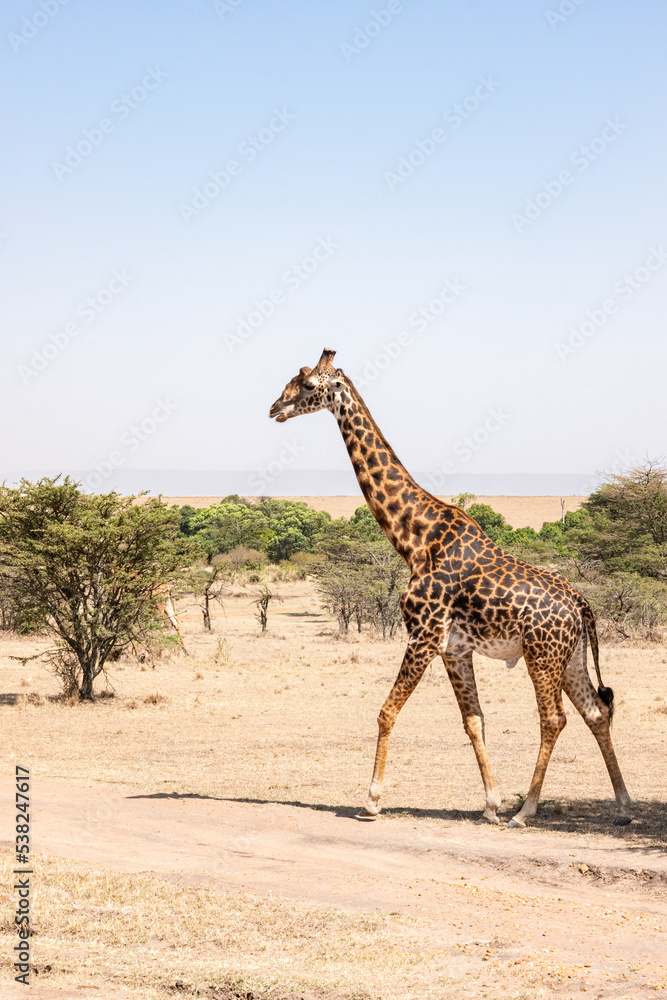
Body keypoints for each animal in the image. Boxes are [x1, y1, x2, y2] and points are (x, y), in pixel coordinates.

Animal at [269, 349, 632, 828]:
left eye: (308, 385)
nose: (274, 408)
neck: (414, 538)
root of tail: (581, 603)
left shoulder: (422, 636)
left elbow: (386, 711)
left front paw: (371, 801)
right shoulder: (455, 649)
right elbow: (474, 720)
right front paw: (491, 805)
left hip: (542, 654)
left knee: (554, 719)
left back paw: (527, 811)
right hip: (570, 656)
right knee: (595, 711)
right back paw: (623, 807)